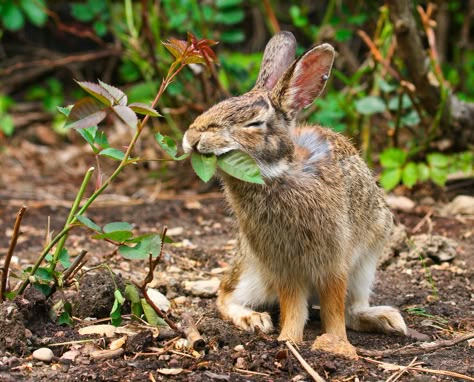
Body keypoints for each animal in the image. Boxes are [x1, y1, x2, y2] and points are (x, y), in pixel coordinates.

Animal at [182, 30, 408, 358]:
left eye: (253, 123)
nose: (192, 138)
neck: (279, 174)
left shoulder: (334, 260)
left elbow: (333, 308)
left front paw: (336, 343)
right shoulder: (283, 267)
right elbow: (293, 307)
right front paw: (287, 340)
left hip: (365, 264)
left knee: (352, 309)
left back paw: (386, 320)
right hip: (253, 271)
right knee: (224, 295)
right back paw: (254, 319)